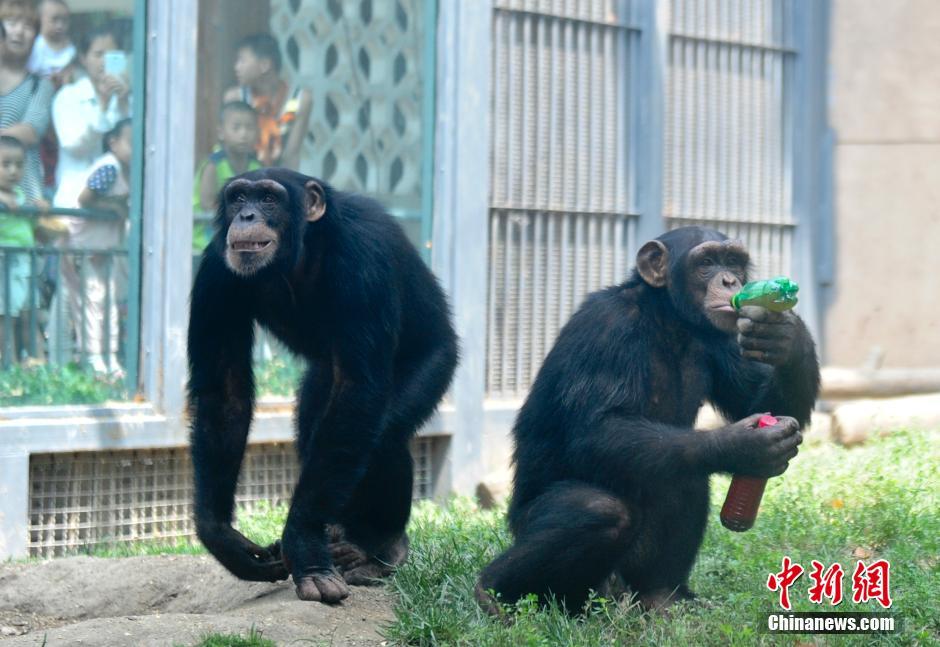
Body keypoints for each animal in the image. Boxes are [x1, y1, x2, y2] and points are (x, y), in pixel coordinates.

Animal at [185, 167, 458, 604]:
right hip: (319, 379)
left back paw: (379, 545)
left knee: (381, 437)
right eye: (238, 196)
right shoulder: (216, 271)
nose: (245, 215)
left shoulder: (364, 257)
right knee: (318, 427)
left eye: (269, 199)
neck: (301, 252)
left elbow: (358, 388)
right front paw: (224, 540)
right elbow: (223, 392)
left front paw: (304, 547)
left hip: (437, 359)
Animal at [478, 225, 816, 616]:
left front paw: (786, 336)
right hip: (538, 538)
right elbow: (597, 430)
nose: (731, 280)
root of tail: (614, 593)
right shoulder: (608, 327)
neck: (668, 318)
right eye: (706, 262)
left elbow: (761, 403)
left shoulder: (722, 337)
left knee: (684, 474)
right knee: (598, 511)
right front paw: (745, 446)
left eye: (733, 261)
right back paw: (493, 592)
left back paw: (661, 595)